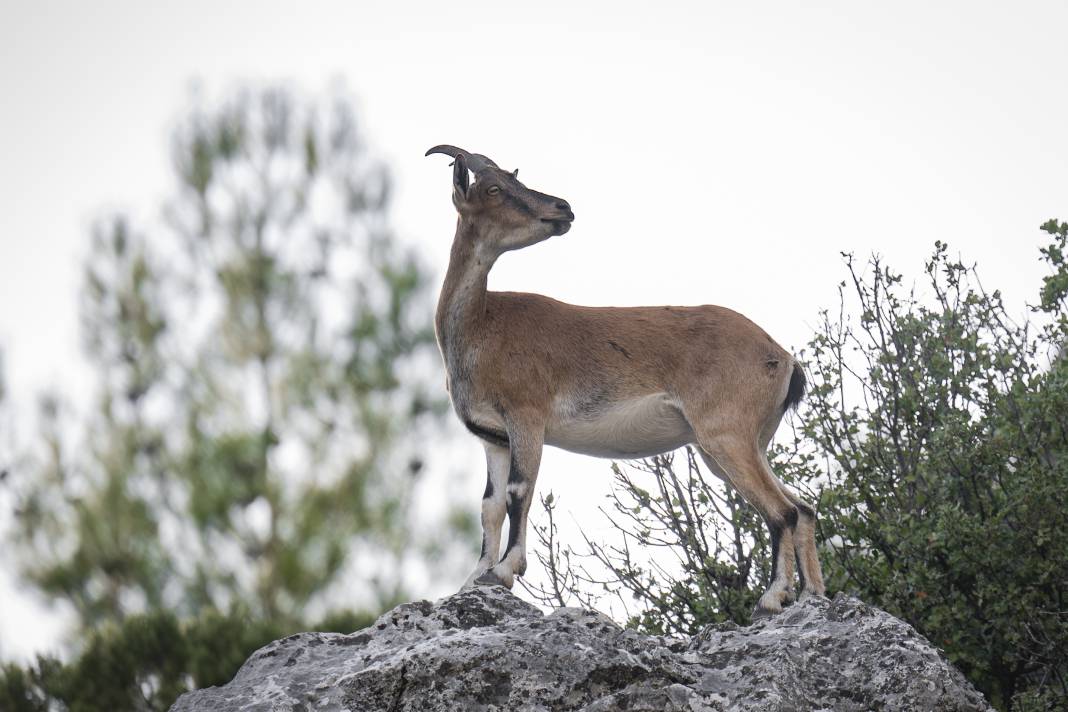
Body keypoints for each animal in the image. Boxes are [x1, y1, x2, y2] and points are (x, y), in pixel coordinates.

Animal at [425, 145, 824, 619]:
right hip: (741, 445)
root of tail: (783, 358)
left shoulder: (527, 418)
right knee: (804, 508)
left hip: (725, 435)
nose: (562, 208)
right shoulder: (493, 437)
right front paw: (475, 580)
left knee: (782, 511)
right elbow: (489, 506)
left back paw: (771, 597)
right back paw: (812, 594)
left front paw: (505, 571)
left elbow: (519, 491)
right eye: (493, 187)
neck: (482, 325)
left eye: (510, 179)